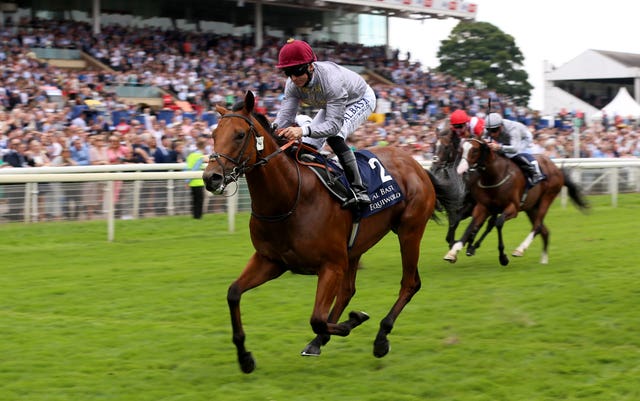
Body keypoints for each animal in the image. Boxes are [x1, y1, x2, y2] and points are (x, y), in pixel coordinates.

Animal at [202, 90, 458, 372]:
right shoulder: (270, 261)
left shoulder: (331, 265)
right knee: (348, 291)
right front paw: (245, 357)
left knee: (410, 283)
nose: (211, 177)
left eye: (239, 134)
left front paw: (355, 319)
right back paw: (319, 342)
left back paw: (381, 337)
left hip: (409, 231)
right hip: (356, 246)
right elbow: (233, 293)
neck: (289, 198)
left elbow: (317, 318)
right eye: (214, 134)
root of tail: (416, 165)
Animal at [442, 138, 588, 266]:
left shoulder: (512, 208)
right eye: (461, 150)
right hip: (531, 207)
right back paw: (543, 260)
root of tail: (556, 168)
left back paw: (520, 249)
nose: (460, 169)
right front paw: (453, 251)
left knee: (537, 226)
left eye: (475, 150)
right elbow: (470, 226)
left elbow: (498, 223)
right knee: (544, 230)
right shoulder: (482, 207)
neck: (494, 175)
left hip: (547, 197)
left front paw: (502, 257)